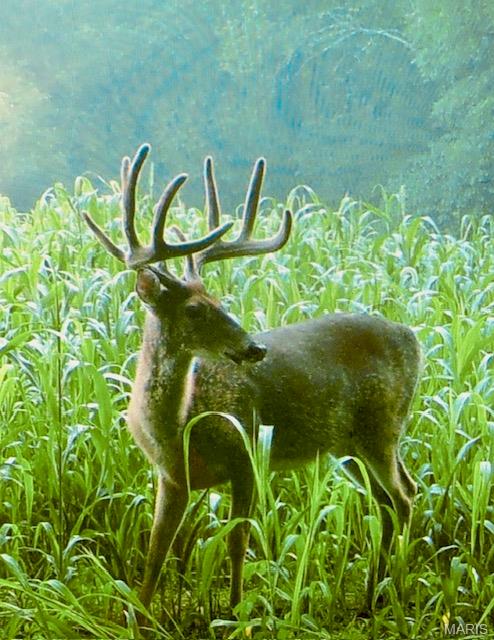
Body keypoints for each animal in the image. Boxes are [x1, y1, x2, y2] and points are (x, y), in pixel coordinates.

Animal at [82, 143, 421, 616]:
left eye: (220, 301)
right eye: (195, 310)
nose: (254, 347)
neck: (178, 426)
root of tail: (413, 337)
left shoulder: (246, 454)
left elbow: (237, 541)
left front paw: (235, 613)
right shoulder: (171, 477)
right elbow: (155, 552)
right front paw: (140, 618)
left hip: (382, 427)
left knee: (404, 495)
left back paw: (393, 589)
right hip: (348, 445)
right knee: (389, 501)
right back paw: (374, 593)